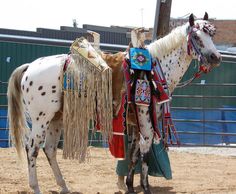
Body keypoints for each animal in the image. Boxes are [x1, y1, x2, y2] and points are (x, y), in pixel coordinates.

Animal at [7, 12, 221, 193]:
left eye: (212, 35)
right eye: (197, 37)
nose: (216, 57)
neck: (155, 68)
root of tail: (30, 67)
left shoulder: (135, 124)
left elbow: (133, 154)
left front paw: (130, 186)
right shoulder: (146, 120)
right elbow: (145, 152)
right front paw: (145, 187)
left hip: (56, 119)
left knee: (49, 149)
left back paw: (64, 185)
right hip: (40, 120)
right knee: (32, 148)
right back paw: (35, 187)